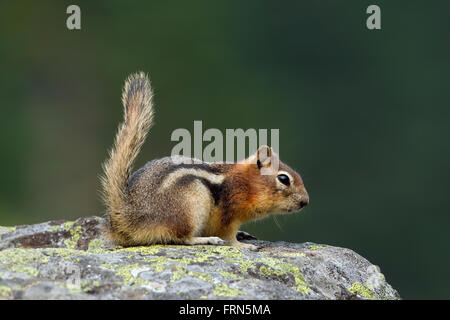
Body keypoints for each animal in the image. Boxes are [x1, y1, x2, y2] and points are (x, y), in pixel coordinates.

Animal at [100, 72, 308, 250]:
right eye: (284, 179)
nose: (305, 202)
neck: (246, 183)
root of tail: (127, 214)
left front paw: (243, 235)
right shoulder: (229, 211)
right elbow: (228, 235)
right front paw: (241, 245)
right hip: (189, 209)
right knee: (181, 237)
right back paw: (206, 239)